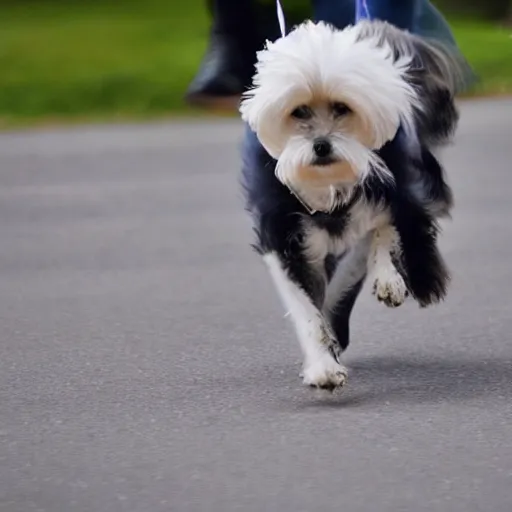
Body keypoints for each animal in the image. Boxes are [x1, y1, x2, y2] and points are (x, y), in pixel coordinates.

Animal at [238, 18, 470, 390]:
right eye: (298, 111)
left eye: (342, 108)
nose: (321, 146)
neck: (329, 184)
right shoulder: (284, 237)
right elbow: (306, 308)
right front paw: (323, 366)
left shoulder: (393, 190)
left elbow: (382, 233)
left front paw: (388, 280)